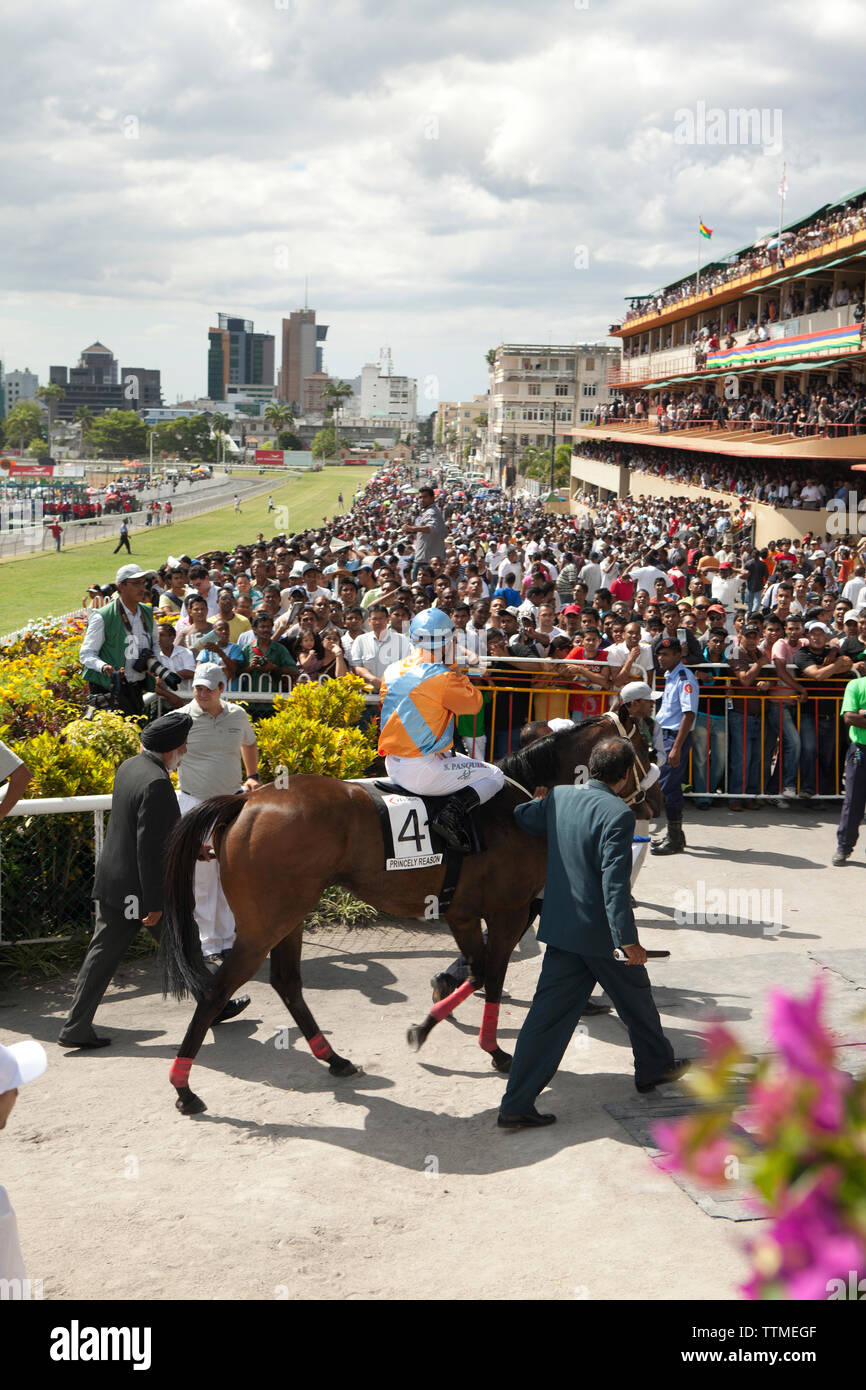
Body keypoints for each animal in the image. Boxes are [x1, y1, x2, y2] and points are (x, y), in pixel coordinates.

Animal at [161, 711, 664, 1112]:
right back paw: (184, 1088)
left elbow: (476, 972)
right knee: (217, 991)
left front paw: (426, 1025)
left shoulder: (463, 913)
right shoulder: (508, 910)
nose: (653, 801)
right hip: (265, 923)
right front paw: (496, 1051)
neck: (517, 805)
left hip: (289, 916)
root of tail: (246, 799)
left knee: (286, 982)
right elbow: (493, 977)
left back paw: (334, 1059)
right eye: (645, 746)